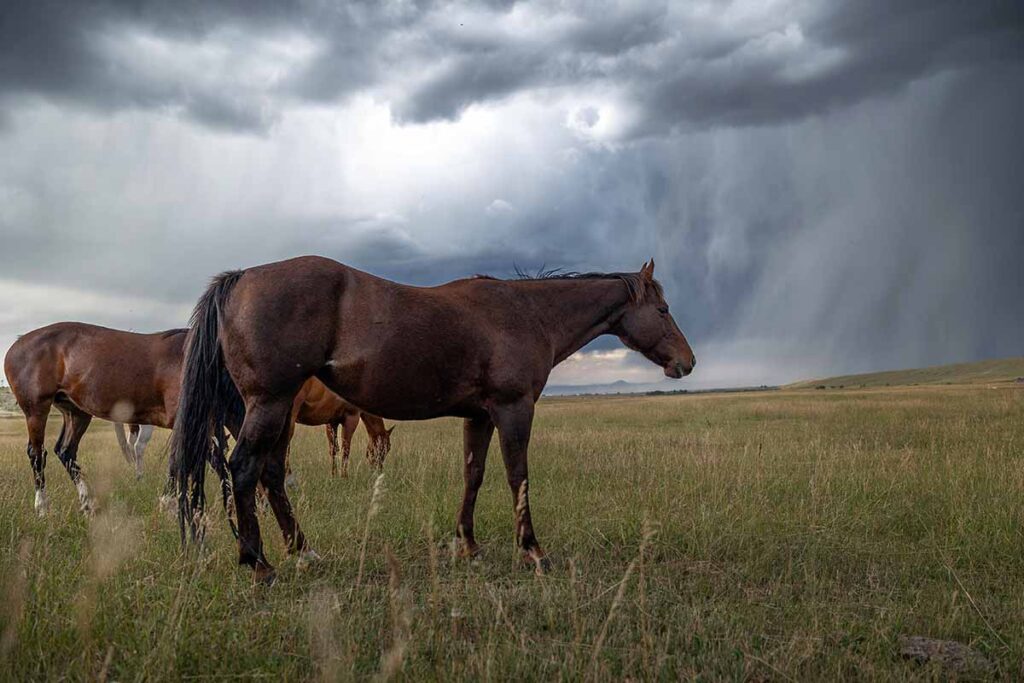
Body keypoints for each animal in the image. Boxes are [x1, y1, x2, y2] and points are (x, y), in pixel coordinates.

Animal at [3, 324, 190, 514]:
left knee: (65, 451)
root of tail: (17, 344)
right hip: (36, 410)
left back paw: (88, 503)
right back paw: (42, 507)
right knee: (37, 454)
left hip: (76, 413)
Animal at [171, 256, 695, 583]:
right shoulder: (514, 408)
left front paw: (468, 545)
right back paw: (260, 564)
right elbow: (518, 476)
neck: (526, 313)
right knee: (245, 470)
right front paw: (532, 550)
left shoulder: (480, 416)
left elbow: (474, 474)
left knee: (272, 474)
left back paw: (303, 551)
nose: (687, 362)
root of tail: (243, 278)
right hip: (270, 404)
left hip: (277, 412)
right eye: (663, 308)